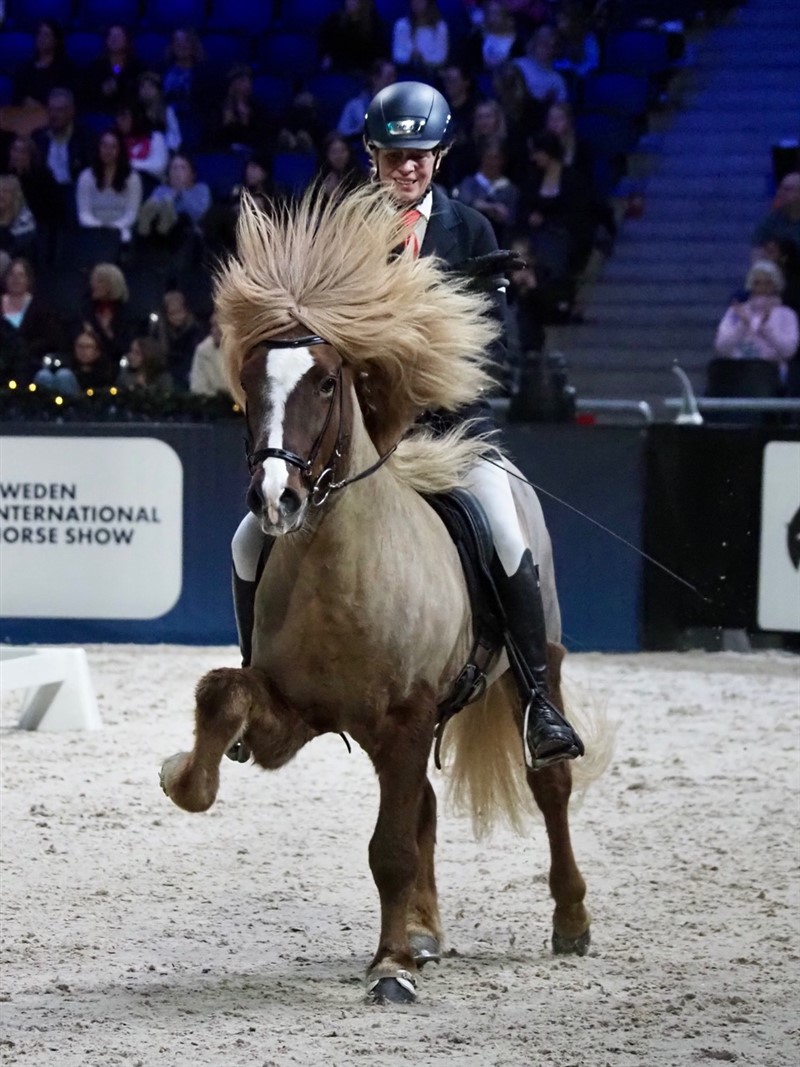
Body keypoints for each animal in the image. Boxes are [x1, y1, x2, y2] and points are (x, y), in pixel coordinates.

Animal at [163, 185, 605, 1007]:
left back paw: (570, 921)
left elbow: (391, 847)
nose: (274, 498)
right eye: (251, 381)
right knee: (424, 804)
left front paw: (391, 968)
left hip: (532, 668)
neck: (341, 573)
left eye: (326, 381)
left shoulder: (405, 717)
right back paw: (427, 931)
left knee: (549, 782)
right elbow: (222, 693)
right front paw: (185, 777)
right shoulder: (296, 712)